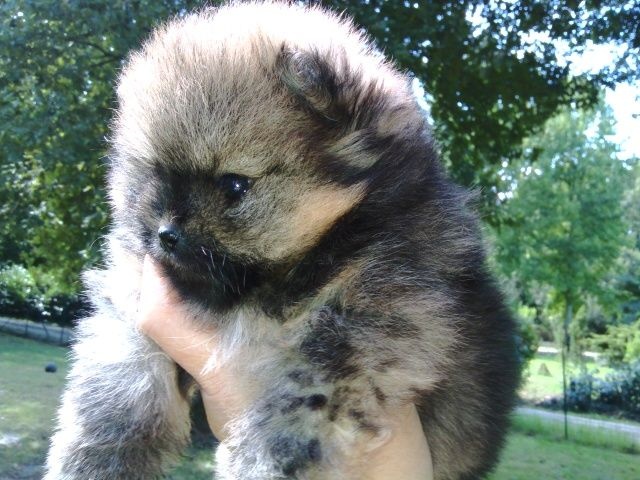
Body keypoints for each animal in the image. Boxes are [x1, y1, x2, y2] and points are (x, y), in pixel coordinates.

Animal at [45, 1, 520, 478]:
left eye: (234, 185)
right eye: (153, 176)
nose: (166, 234)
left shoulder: (378, 320)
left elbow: (299, 402)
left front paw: (259, 462)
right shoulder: (134, 297)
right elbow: (120, 382)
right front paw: (96, 458)